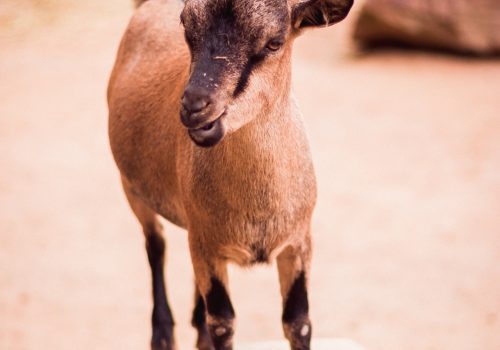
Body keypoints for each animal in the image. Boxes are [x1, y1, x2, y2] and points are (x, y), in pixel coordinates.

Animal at [108, 0, 354, 350]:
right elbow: (223, 324)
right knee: (155, 243)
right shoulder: (208, 250)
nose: (195, 107)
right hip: (131, 188)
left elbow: (298, 323)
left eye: (274, 42)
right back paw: (163, 333)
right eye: (186, 27)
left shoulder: (298, 243)